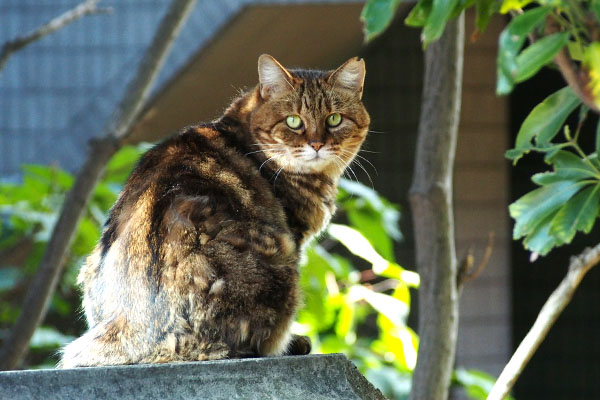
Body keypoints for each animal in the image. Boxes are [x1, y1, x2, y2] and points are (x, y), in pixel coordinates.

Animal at [58, 54, 368, 368]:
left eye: (334, 119)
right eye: (293, 121)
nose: (317, 145)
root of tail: (137, 328)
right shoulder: (295, 235)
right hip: (282, 263)